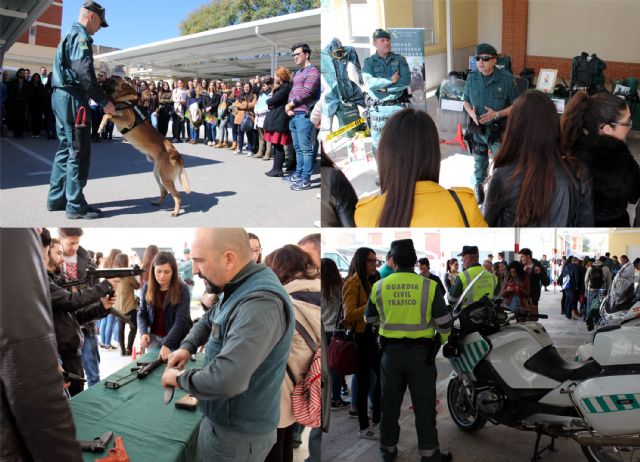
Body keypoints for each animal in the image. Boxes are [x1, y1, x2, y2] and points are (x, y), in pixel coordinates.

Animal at [98, 76, 190, 217]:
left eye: (113, 80)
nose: (103, 80)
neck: (122, 99)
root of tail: (177, 154)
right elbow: (108, 114)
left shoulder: (127, 121)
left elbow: (107, 115)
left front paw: (100, 126)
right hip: (157, 174)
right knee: (164, 191)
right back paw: (158, 203)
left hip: (165, 178)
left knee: (177, 196)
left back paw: (176, 211)